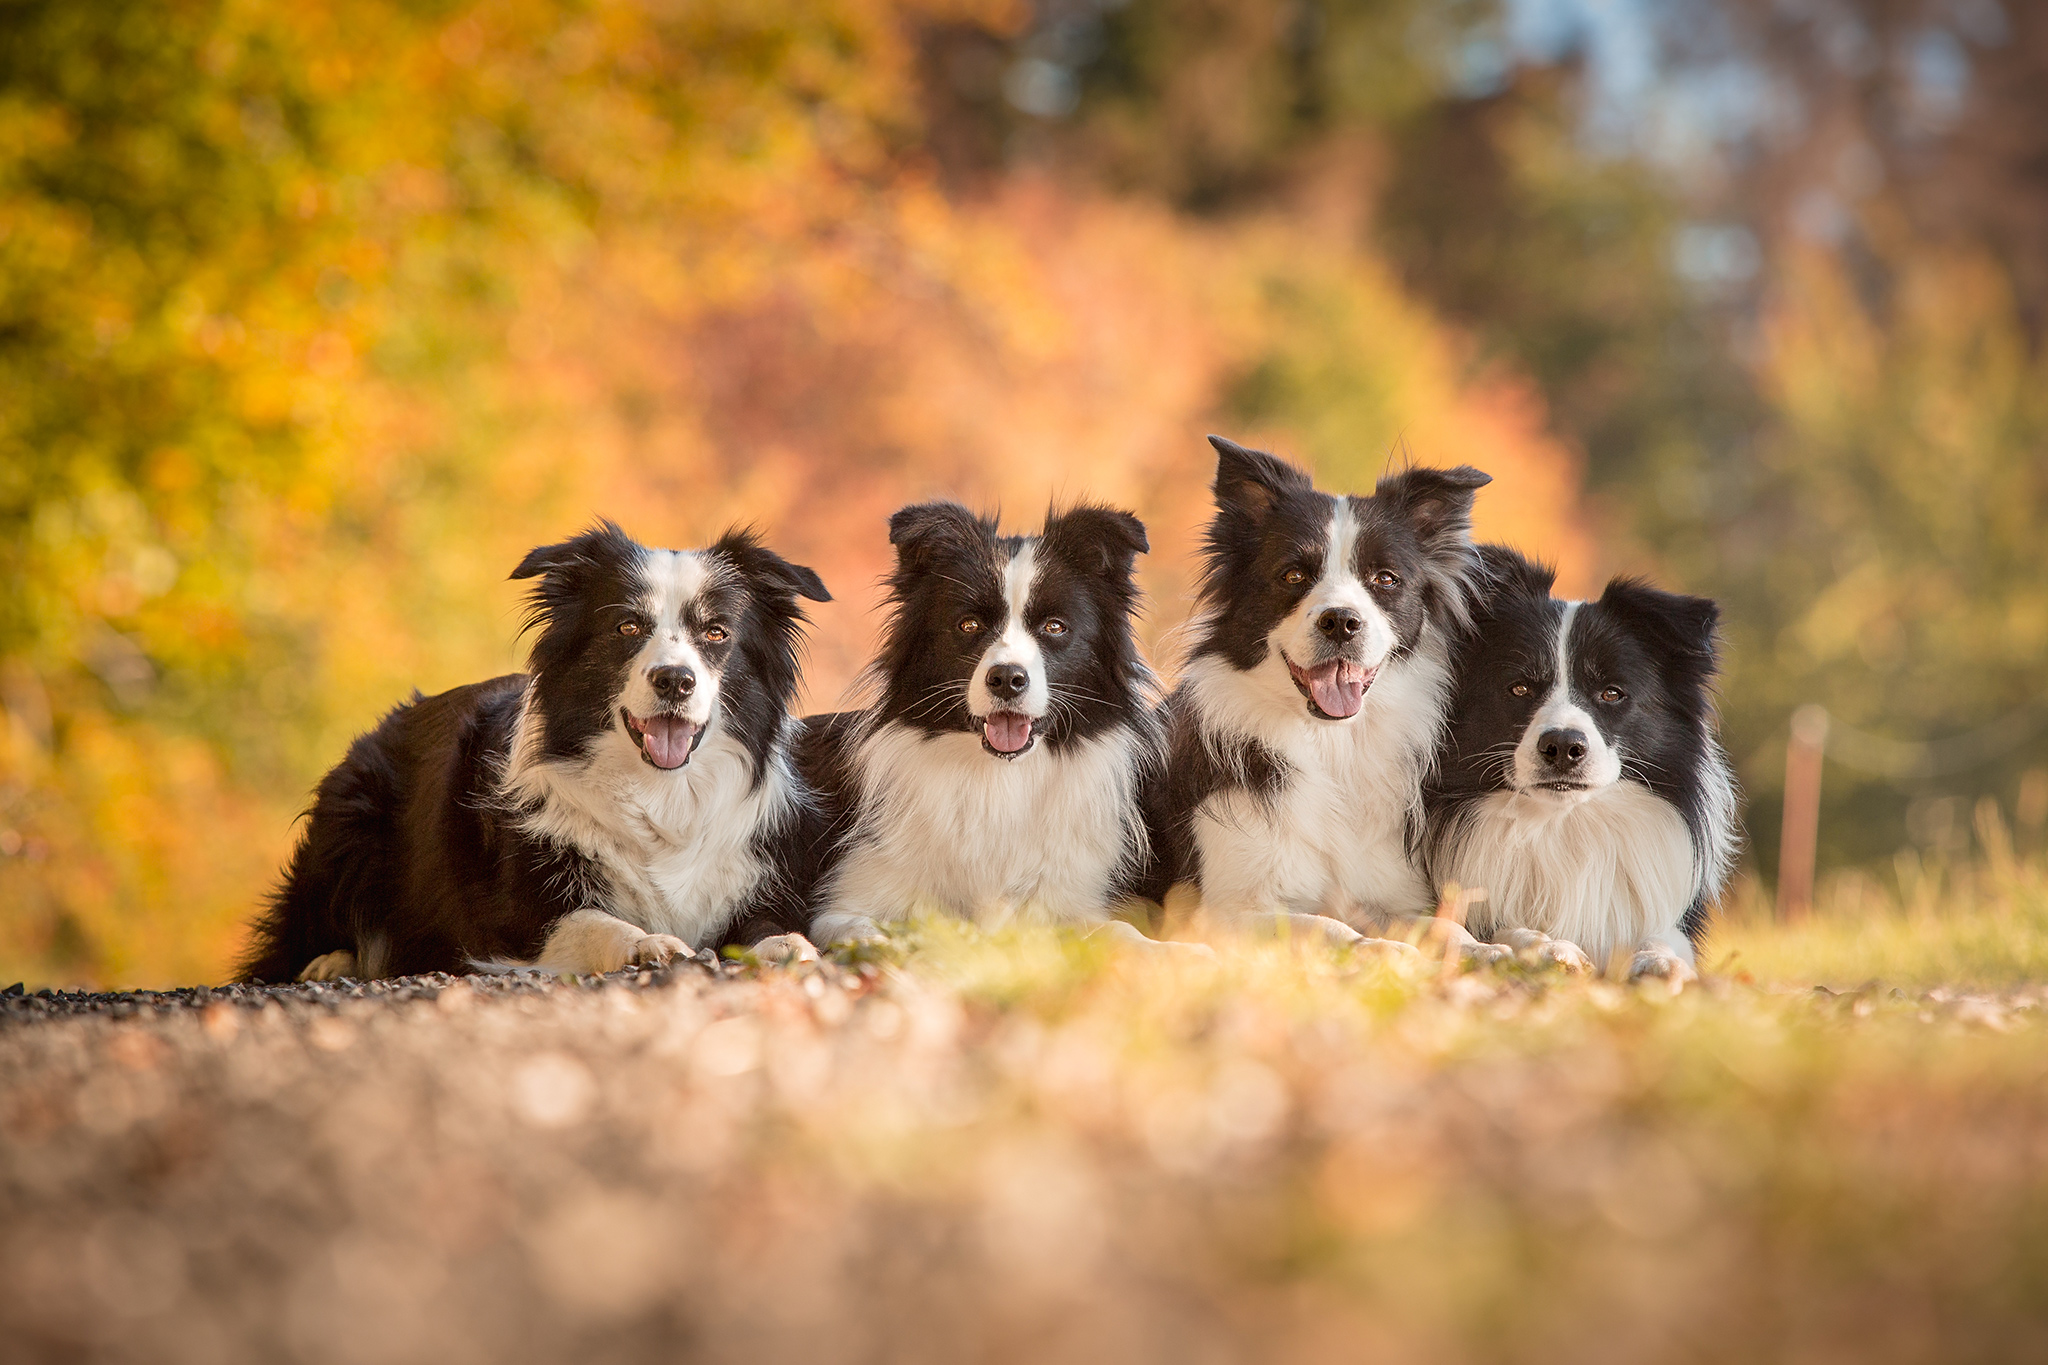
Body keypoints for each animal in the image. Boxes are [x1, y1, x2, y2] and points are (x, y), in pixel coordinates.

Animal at [245, 515, 831, 982]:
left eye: (716, 633)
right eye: (627, 626)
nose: (674, 681)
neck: (660, 793)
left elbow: (762, 926)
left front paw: (787, 944)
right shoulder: (510, 922)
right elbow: (595, 923)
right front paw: (647, 943)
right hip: (349, 818)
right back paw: (329, 962)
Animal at [1138, 437, 1490, 949]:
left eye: (1385, 579)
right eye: (1293, 576)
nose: (1341, 621)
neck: (1331, 743)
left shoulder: (1394, 897)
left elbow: (1447, 929)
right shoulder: (1220, 914)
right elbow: (1331, 928)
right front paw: (1379, 948)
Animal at [1425, 548, 1744, 982]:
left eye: (1611, 693)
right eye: (1519, 688)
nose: (1562, 746)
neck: (1564, 827)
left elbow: (1662, 937)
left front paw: (1659, 960)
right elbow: (1500, 929)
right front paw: (1549, 947)